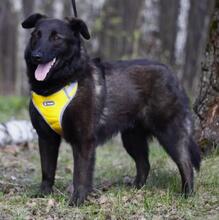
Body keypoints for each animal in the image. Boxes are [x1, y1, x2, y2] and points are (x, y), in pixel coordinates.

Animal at [21, 13, 201, 205]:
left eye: (56, 38)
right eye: (36, 35)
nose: (36, 56)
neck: (56, 85)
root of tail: (172, 73)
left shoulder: (84, 141)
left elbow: (80, 175)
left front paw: (77, 200)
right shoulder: (46, 137)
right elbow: (47, 171)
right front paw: (43, 194)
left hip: (169, 133)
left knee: (185, 163)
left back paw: (187, 194)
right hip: (131, 138)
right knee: (144, 164)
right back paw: (136, 189)